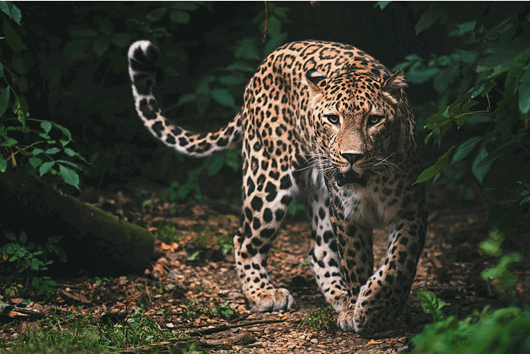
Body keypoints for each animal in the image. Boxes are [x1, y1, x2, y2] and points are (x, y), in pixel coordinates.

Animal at [127, 39, 424, 334]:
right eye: (333, 119)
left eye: (374, 120)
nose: (351, 156)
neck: (370, 181)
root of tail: (267, 61)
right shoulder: (346, 214)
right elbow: (356, 263)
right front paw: (361, 311)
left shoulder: (411, 209)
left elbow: (399, 264)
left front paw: (375, 308)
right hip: (268, 179)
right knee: (243, 239)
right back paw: (264, 293)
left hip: (319, 194)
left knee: (318, 249)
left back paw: (338, 296)